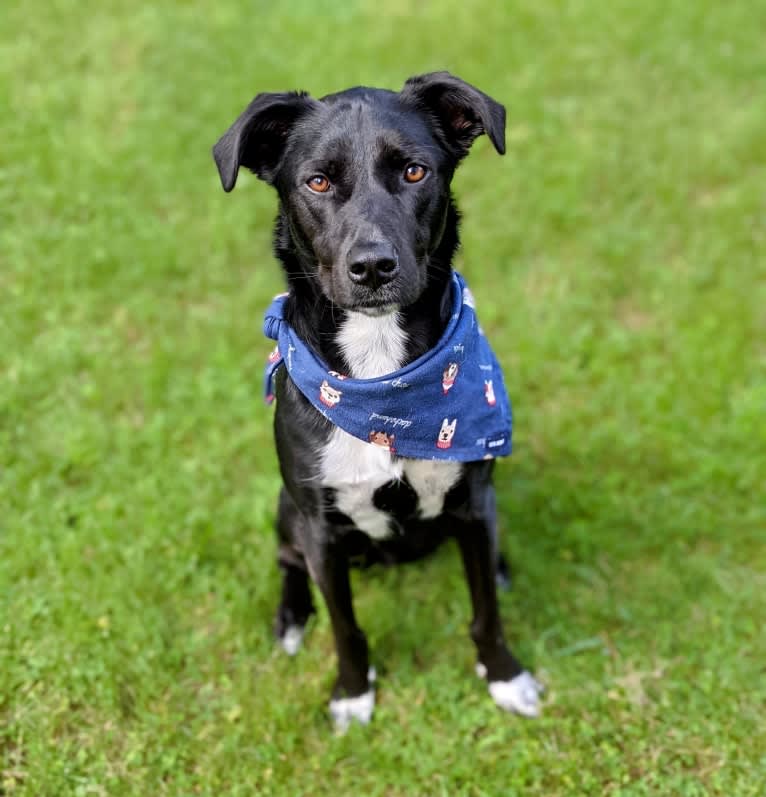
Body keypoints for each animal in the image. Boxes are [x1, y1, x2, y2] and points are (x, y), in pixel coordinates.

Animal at [213, 73, 544, 728]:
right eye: (317, 181)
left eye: (414, 171)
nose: (372, 266)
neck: (383, 382)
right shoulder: (320, 527)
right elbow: (346, 627)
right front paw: (351, 692)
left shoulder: (474, 504)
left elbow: (485, 612)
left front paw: (504, 676)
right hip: (287, 511)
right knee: (287, 562)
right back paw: (291, 618)